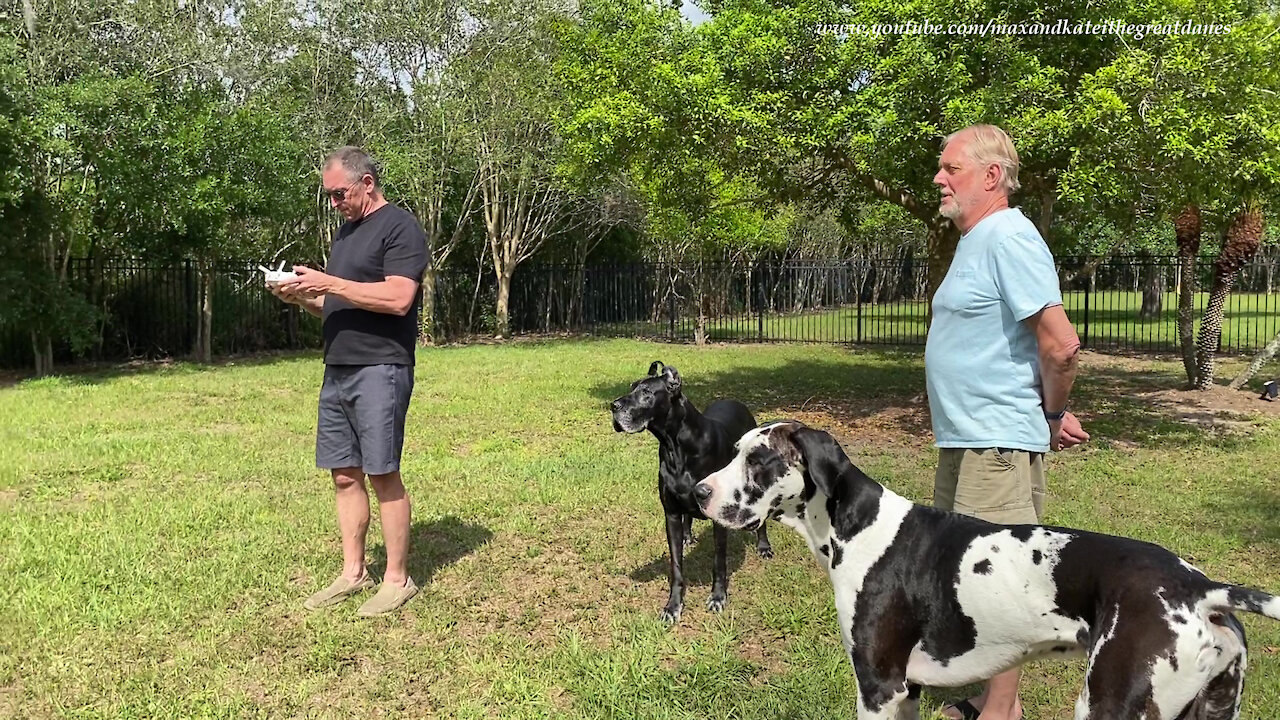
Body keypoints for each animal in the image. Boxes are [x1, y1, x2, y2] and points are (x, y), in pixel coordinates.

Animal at [609, 361, 768, 620]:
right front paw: (673, 606)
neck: (677, 446)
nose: (613, 406)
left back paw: (763, 546)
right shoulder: (671, 514)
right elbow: (676, 566)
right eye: (631, 386)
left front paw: (718, 597)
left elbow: (719, 562)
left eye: (646, 392)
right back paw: (687, 536)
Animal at [701, 420, 1280, 717]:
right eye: (734, 451)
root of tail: (1200, 587)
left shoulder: (879, 685)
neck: (856, 527)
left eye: (758, 460)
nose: (698, 492)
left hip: (1108, 706)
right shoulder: (907, 690)